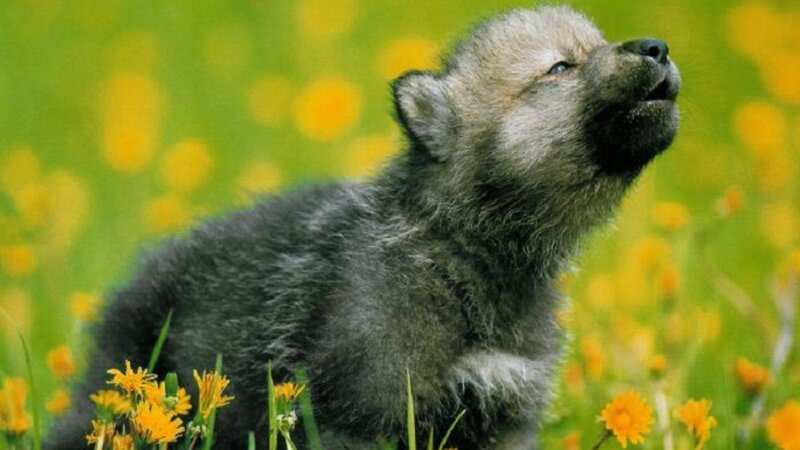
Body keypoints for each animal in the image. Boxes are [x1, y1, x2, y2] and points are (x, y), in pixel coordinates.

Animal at [46, 5, 680, 450]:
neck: (459, 256)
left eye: (595, 46)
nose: (658, 46)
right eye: (559, 67)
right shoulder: (360, 411)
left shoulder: (507, 413)